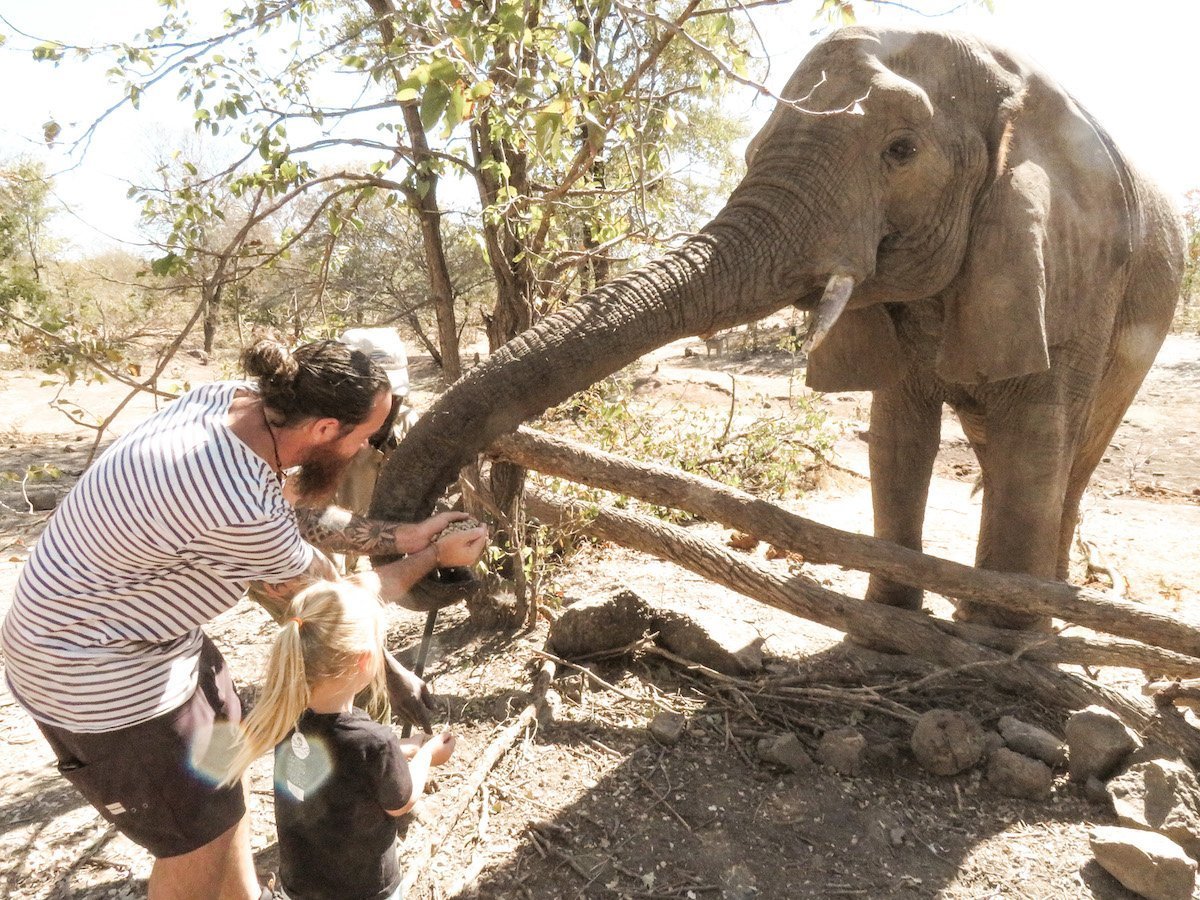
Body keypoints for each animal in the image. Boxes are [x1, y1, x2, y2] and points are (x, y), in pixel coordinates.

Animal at [369, 26, 1184, 631]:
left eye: (901, 152)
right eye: (754, 150)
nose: (452, 555)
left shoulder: (1075, 261)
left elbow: (1034, 431)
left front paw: (994, 646)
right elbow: (896, 430)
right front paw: (891, 619)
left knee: (1070, 453)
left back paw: (1040, 615)